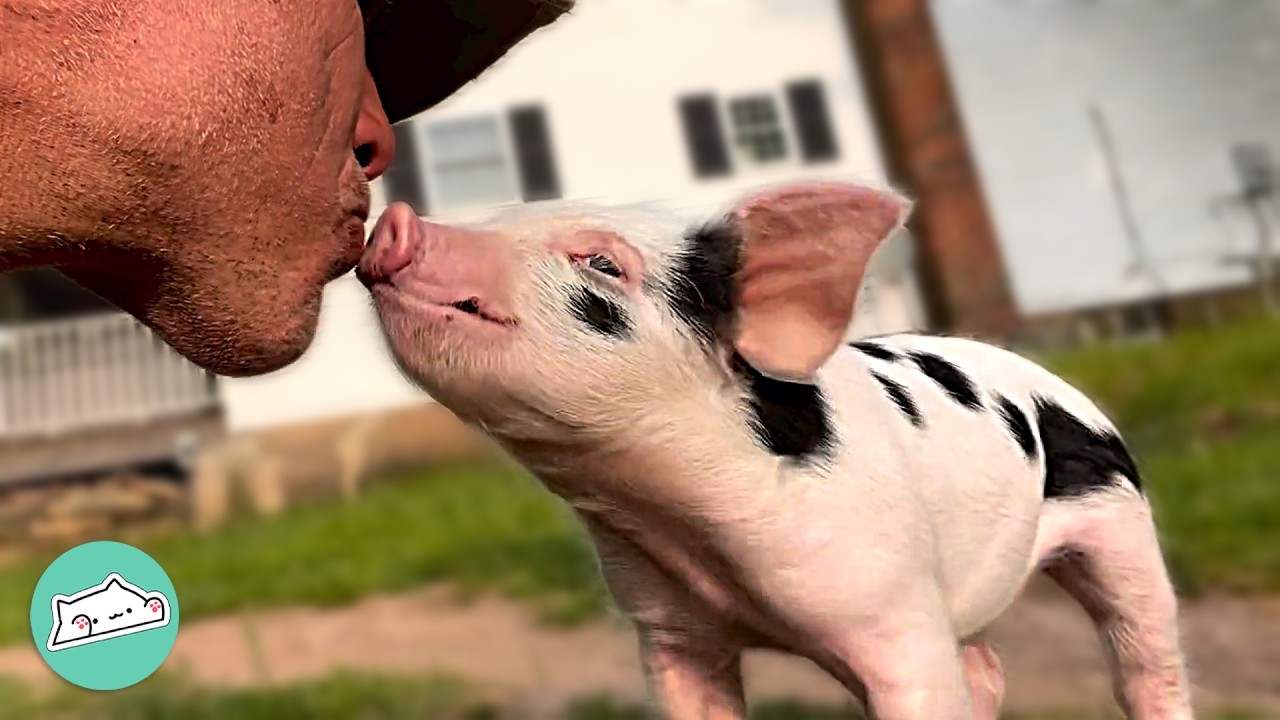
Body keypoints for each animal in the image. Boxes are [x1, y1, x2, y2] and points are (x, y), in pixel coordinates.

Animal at [356, 181, 1194, 720]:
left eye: (601, 264)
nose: (395, 220)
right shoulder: (672, 630)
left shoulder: (894, 608)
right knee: (986, 670)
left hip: (1121, 523)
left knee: (1146, 661)